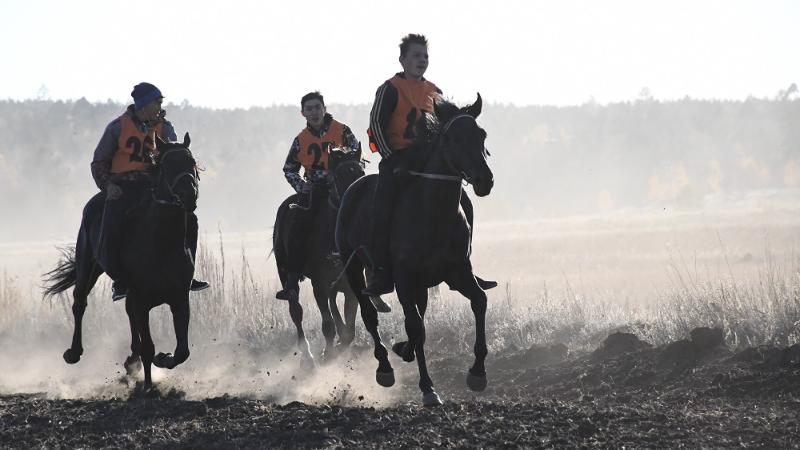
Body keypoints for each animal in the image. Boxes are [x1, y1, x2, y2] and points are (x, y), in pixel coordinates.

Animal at [43, 134, 200, 390]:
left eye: (192, 162)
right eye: (167, 165)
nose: (189, 194)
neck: (162, 243)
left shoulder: (179, 297)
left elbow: (182, 350)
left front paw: (163, 359)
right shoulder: (142, 299)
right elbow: (148, 347)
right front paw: (148, 386)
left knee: (128, 316)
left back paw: (132, 362)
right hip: (88, 266)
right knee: (79, 303)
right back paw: (74, 352)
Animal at [273, 146, 390, 362]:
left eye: (360, 172)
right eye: (337, 176)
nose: (352, 203)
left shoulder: (349, 283)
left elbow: (349, 328)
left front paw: (339, 344)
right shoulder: (319, 282)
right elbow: (327, 323)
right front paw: (327, 351)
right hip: (284, 271)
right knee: (295, 309)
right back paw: (307, 357)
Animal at [335, 93, 494, 406]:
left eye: (481, 134)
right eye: (452, 139)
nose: (485, 180)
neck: (434, 213)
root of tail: (352, 188)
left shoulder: (458, 272)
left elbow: (479, 301)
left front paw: (478, 373)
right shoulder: (404, 279)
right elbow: (416, 327)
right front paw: (428, 388)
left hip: (422, 284)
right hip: (356, 269)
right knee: (370, 315)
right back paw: (384, 368)